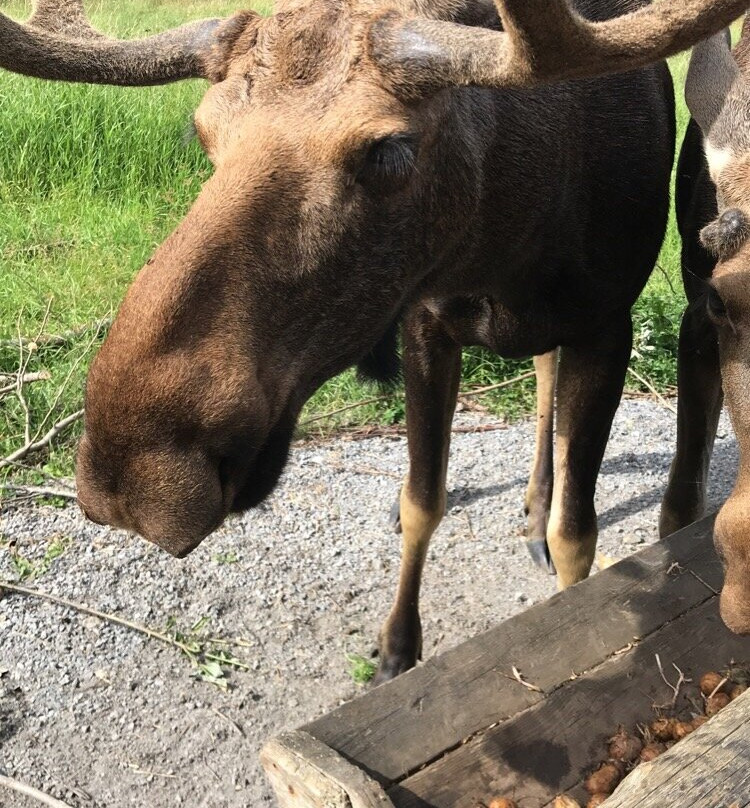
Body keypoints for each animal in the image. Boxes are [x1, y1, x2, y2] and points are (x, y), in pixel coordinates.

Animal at [2, 0, 748, 680]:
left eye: (388, 148)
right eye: (203, 131)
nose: (139, 477)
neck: (505, 250)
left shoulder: (607, 320)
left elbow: (578, 535)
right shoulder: (426, 321)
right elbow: (424, 501)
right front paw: (396, 646)